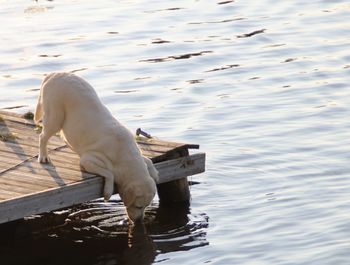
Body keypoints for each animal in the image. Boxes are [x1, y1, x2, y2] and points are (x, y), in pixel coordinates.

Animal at [34, 71, 159, 222]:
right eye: (138, 206)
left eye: (146, 206)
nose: (139, 221)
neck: (125, 157)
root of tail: (55, 74)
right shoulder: (88, 160)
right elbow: (110, 173)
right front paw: (108, 192)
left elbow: (149, 160)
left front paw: (155, 174)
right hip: (55, 117)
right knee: (42, 137)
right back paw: (43, 156)